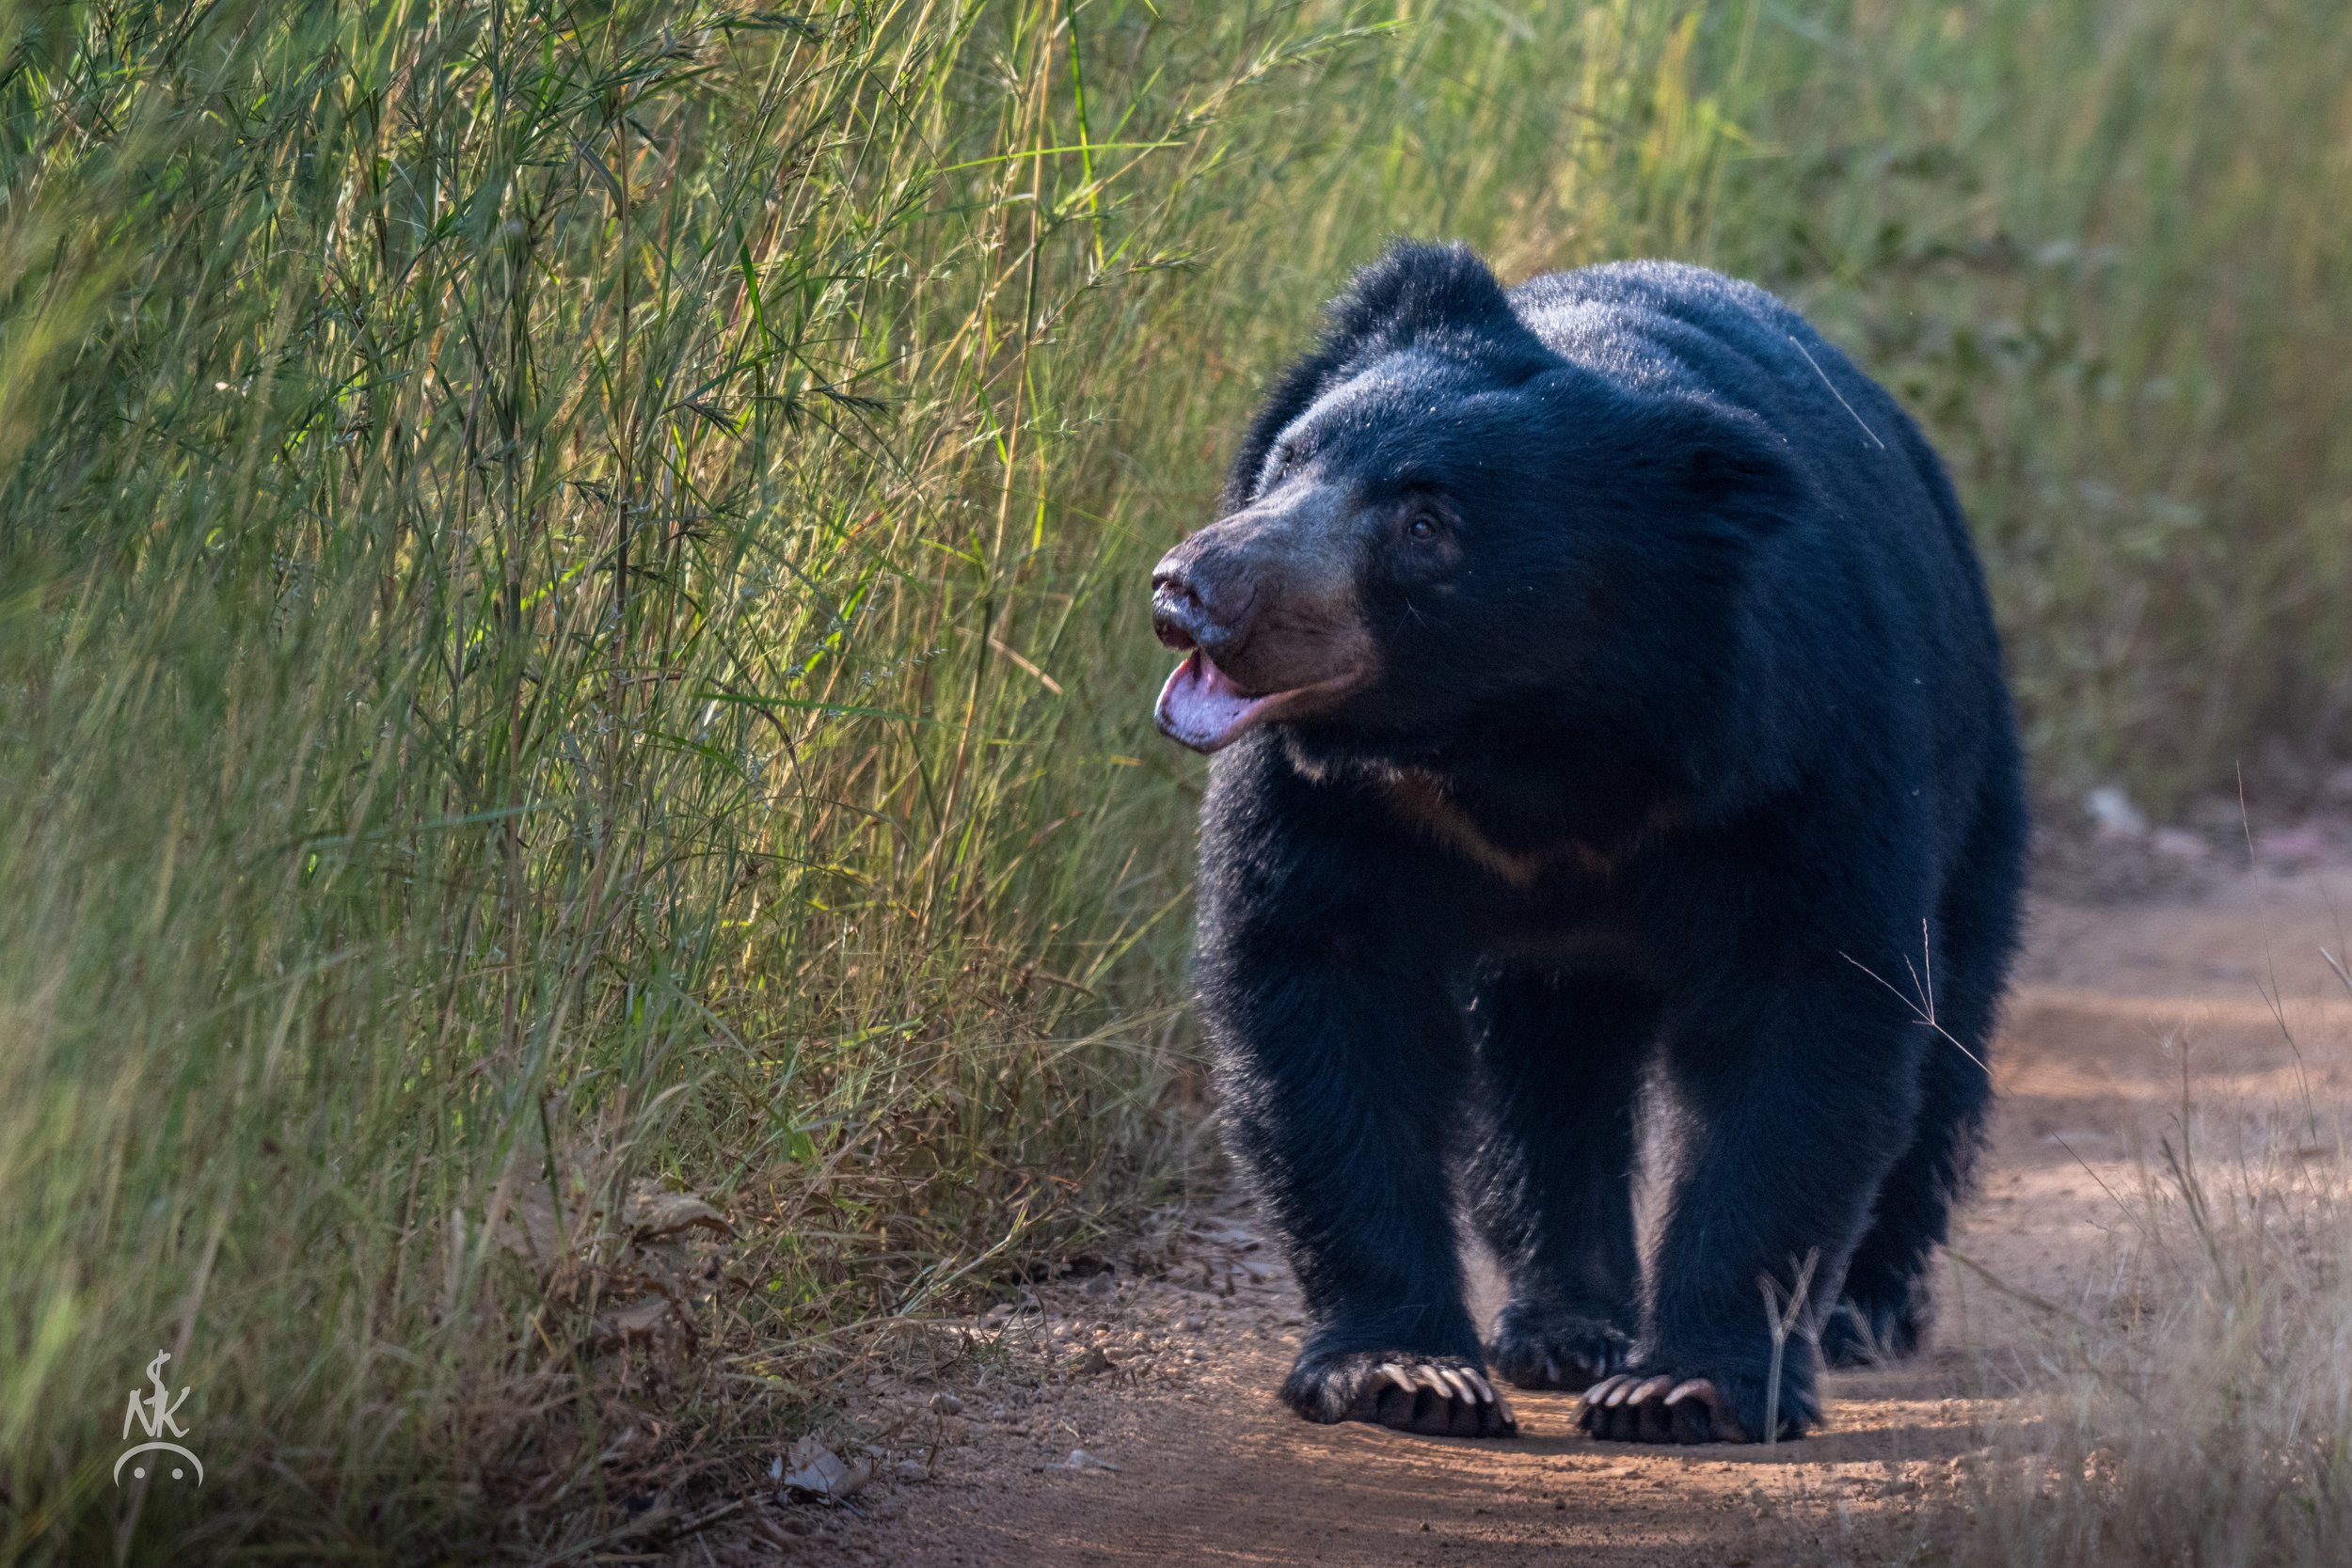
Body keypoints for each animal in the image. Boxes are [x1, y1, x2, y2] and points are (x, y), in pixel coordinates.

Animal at [1147, 242, 2026, 1445]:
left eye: (1424, 526)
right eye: (1288, 459)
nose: (1193, 588)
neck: (1525, 735)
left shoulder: (1795, 754)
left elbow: (1805, 1010)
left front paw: (1686, 1386)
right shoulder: (1326, 799)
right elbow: (1323, 989)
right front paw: (1404, 1372)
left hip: (1972, 774)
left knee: (1947, 1030)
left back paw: (1865, 1311)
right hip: (1555, 960)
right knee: (1547, 1074)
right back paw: (1564, 1325)